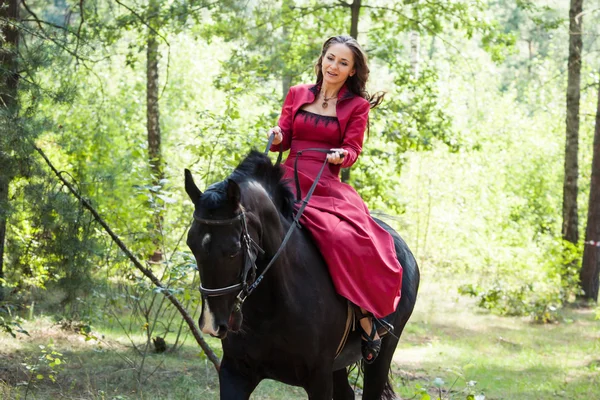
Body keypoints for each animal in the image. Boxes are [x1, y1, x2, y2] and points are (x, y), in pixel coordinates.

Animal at [185, 151, 420, 400]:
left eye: (233, 250)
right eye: (192, 245)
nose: (211, 324)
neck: (270, 304)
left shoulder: (319, 377)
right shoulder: (235, 372)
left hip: (383, 351)